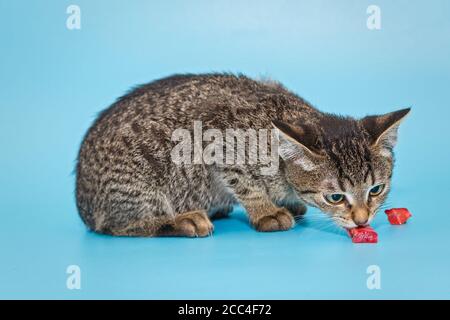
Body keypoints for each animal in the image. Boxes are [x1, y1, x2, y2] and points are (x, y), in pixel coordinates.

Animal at [75, 74, 410, 236]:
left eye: (376, 190)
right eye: (336, 197)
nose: (362, 221)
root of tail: (83, 204)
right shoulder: (215, 135)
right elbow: (245, 182)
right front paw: (266, 210)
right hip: (139, 180)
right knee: (116, 226)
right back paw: (182, 221)